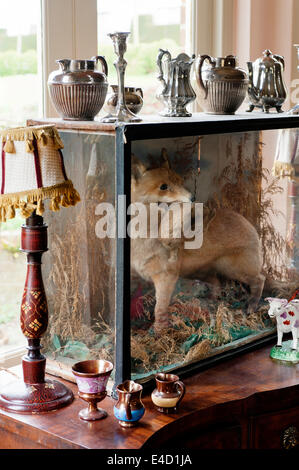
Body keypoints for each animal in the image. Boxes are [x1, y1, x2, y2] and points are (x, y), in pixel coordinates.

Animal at [131, 150, 264, 330]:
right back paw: (211, 302)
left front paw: (159, 330)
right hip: (201, 272)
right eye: (163, 187)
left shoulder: (165, 277)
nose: (192, 198)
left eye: (181, 182)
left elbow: (159, 308)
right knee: (217, 283)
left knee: (260, 279)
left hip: (235, 270)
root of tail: (249, 223)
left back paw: (251, 305)